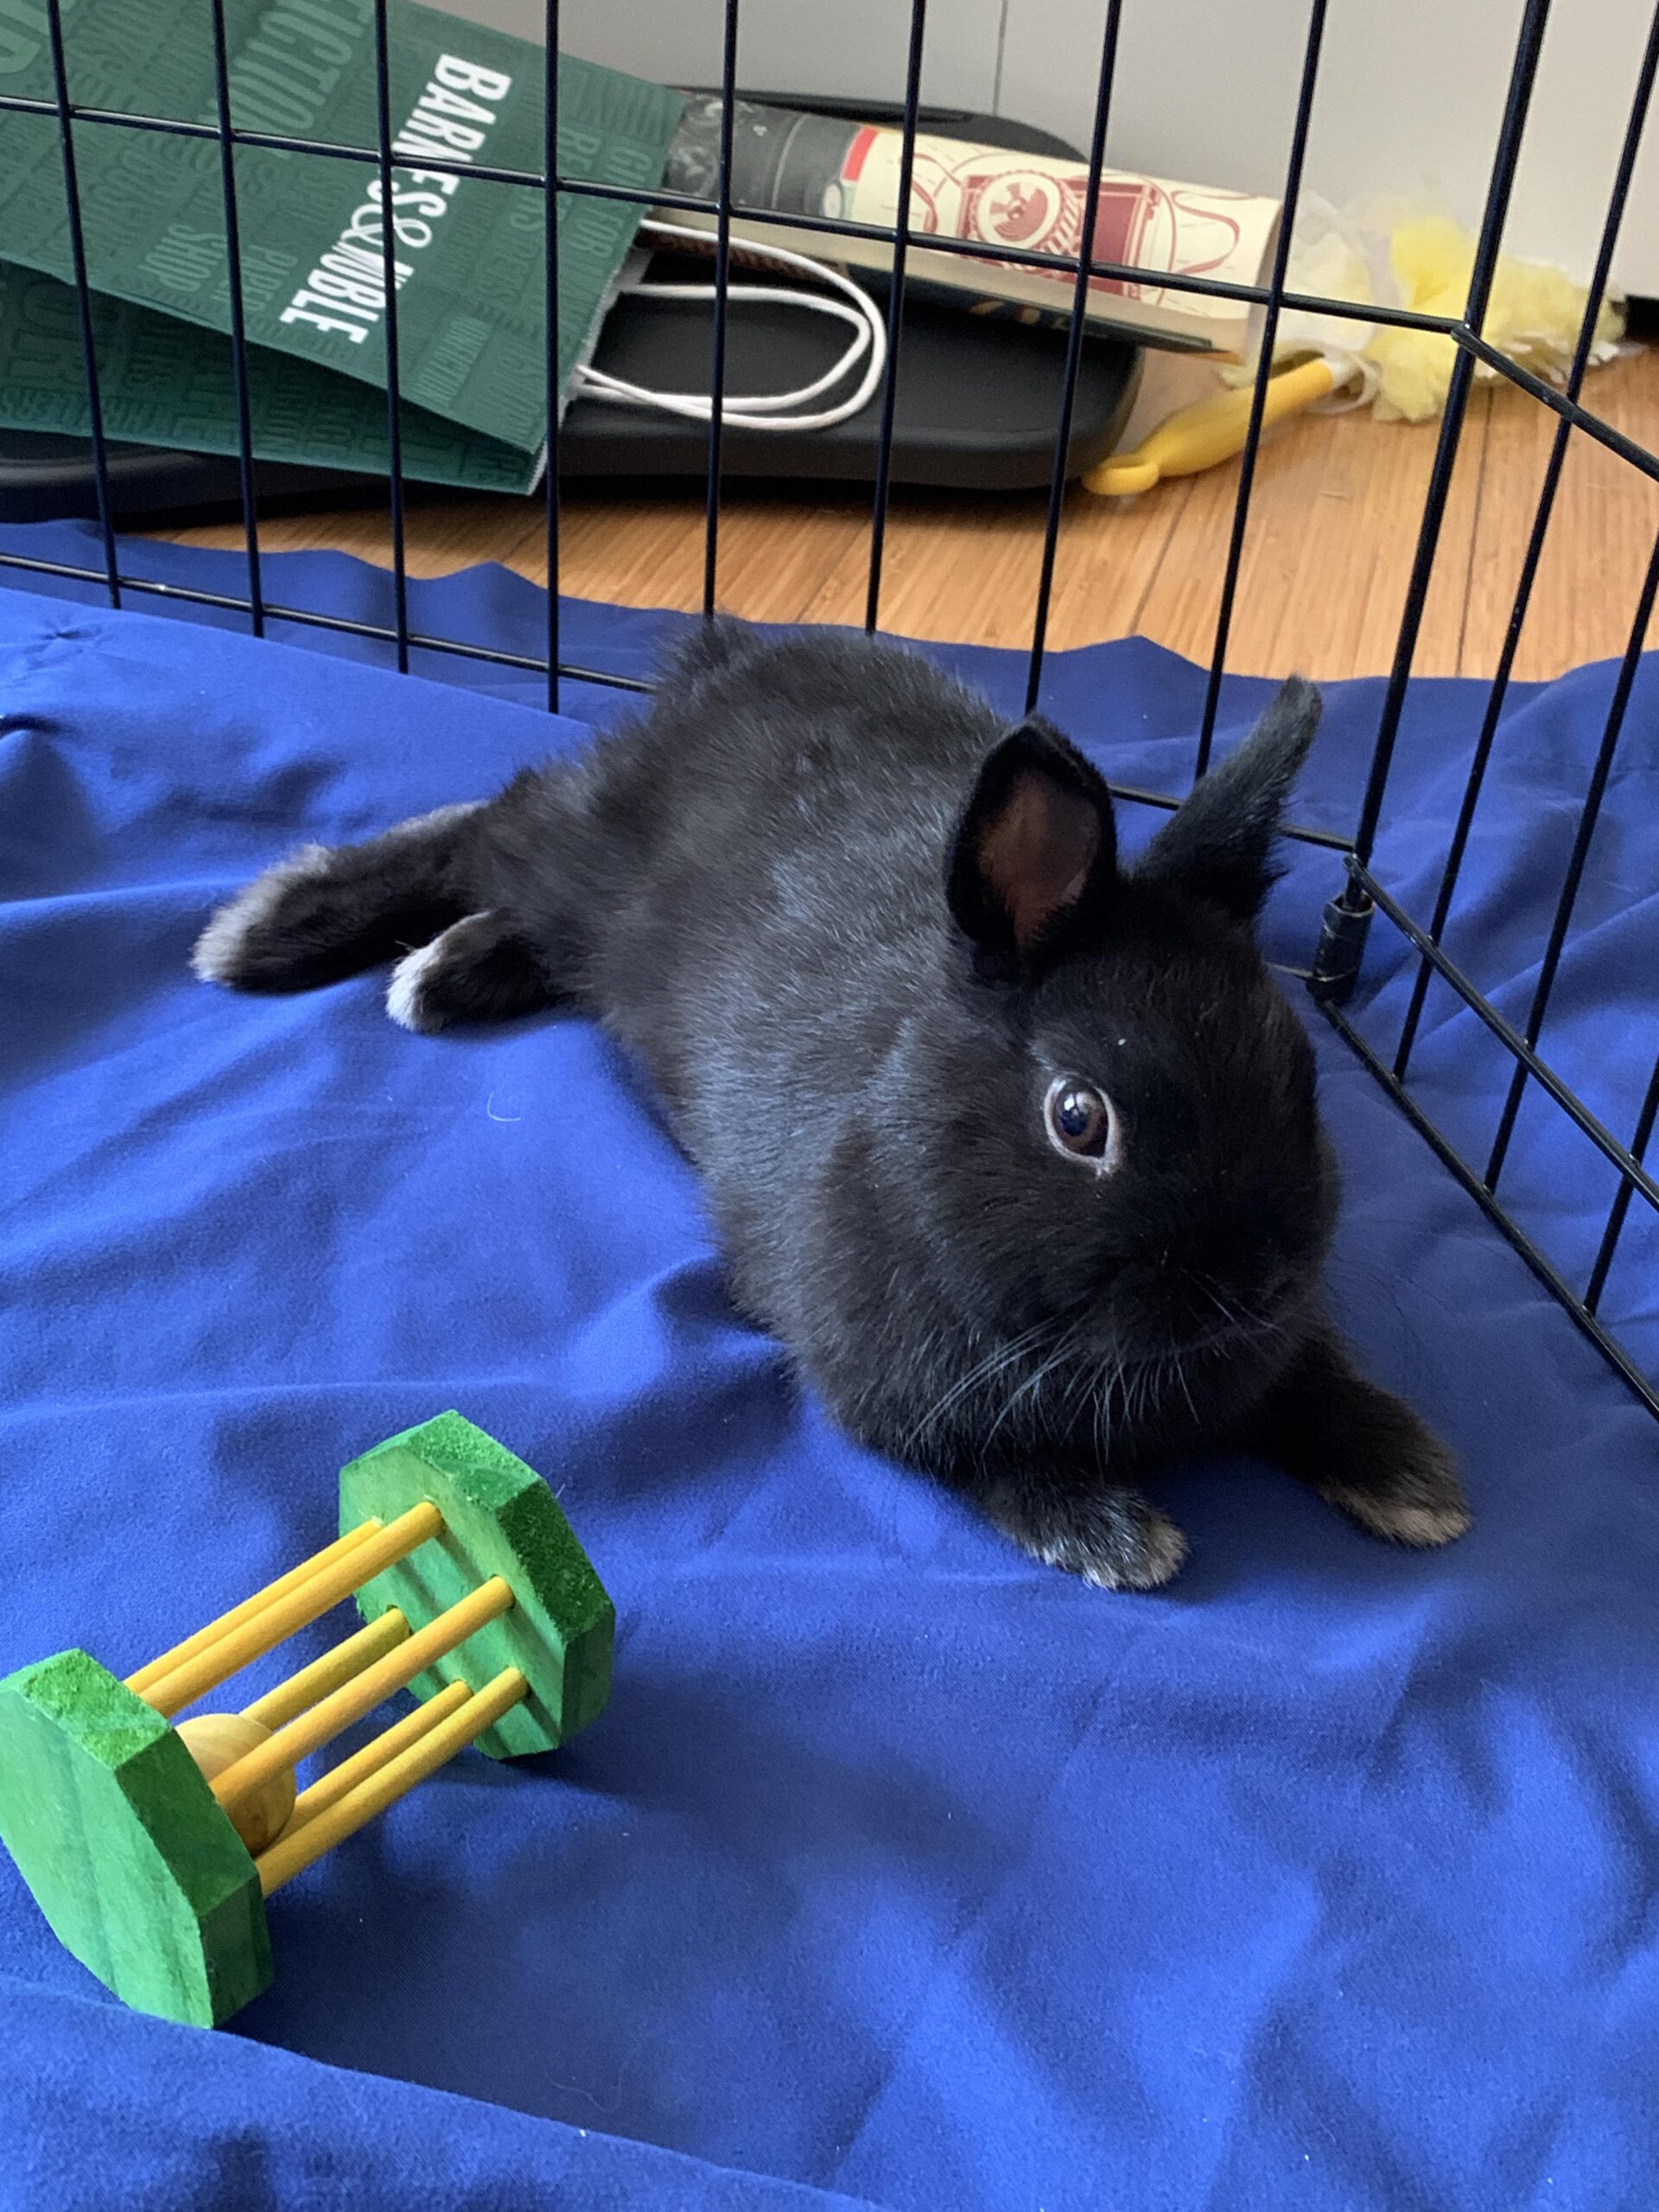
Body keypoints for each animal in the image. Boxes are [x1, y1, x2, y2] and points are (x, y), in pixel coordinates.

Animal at [191, 623, 1468, 1592]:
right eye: (1078, 1118)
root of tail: (728, 663)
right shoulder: (885, 1389)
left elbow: (1309, 1377)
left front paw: (1410, 1476)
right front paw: (1115, 1535)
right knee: (491, 824)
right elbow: (974, 1459)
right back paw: (278, 934)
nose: (1254, 1285)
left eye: (1297, 1073)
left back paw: (448, 971)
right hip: (580, 856)